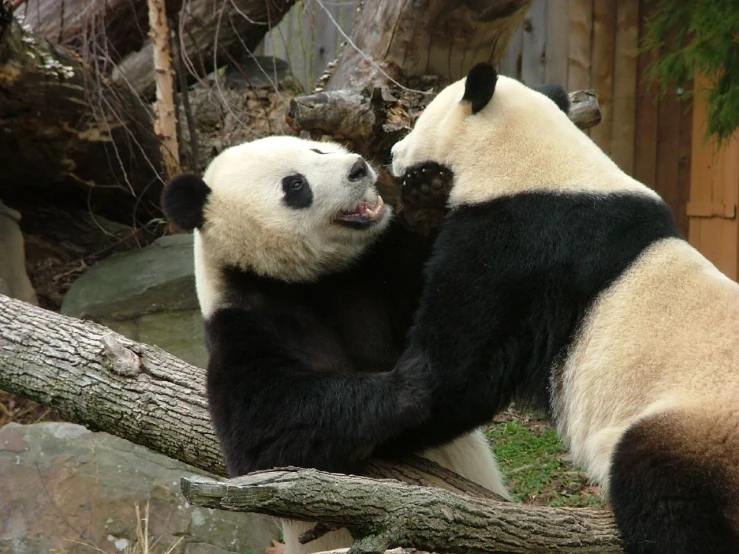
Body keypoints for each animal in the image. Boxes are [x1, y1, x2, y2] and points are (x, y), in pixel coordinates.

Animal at [161, 135, 508, 552]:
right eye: (295, 185)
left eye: (316, 150)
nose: (357, 168)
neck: (308, 282)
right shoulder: (242, 327)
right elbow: (264, 440)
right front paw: (410, 384)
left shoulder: (376, 270)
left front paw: (430, 194)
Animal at [384, 62, 739, 548]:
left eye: (419, 120)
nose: (392, 152)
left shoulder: (515, 245)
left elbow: (456, 374)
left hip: (697, 426)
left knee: (661, 493)